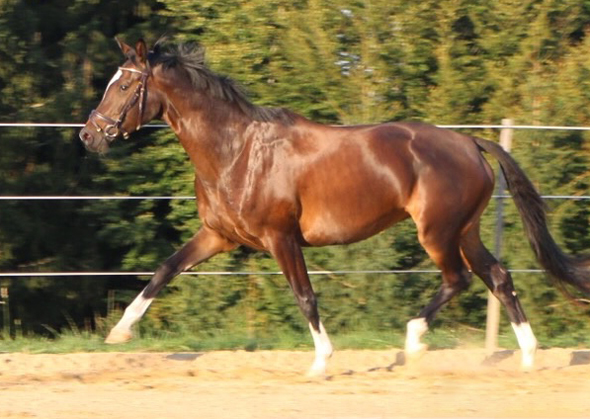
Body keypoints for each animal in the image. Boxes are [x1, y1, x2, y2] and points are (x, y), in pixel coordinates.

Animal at [80, 38, 590, 374]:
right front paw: (120, 332)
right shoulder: (218, 236)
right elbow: (165, 269)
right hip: (464, 231)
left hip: (437, 232)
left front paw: (322, 362)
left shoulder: (280, 237)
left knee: (458, 279)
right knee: (498, 278)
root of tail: (469, 142)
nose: (89, 135)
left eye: (124, 87)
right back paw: (528, 357)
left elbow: (305, 295)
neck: (236, 151)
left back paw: (413, 342)